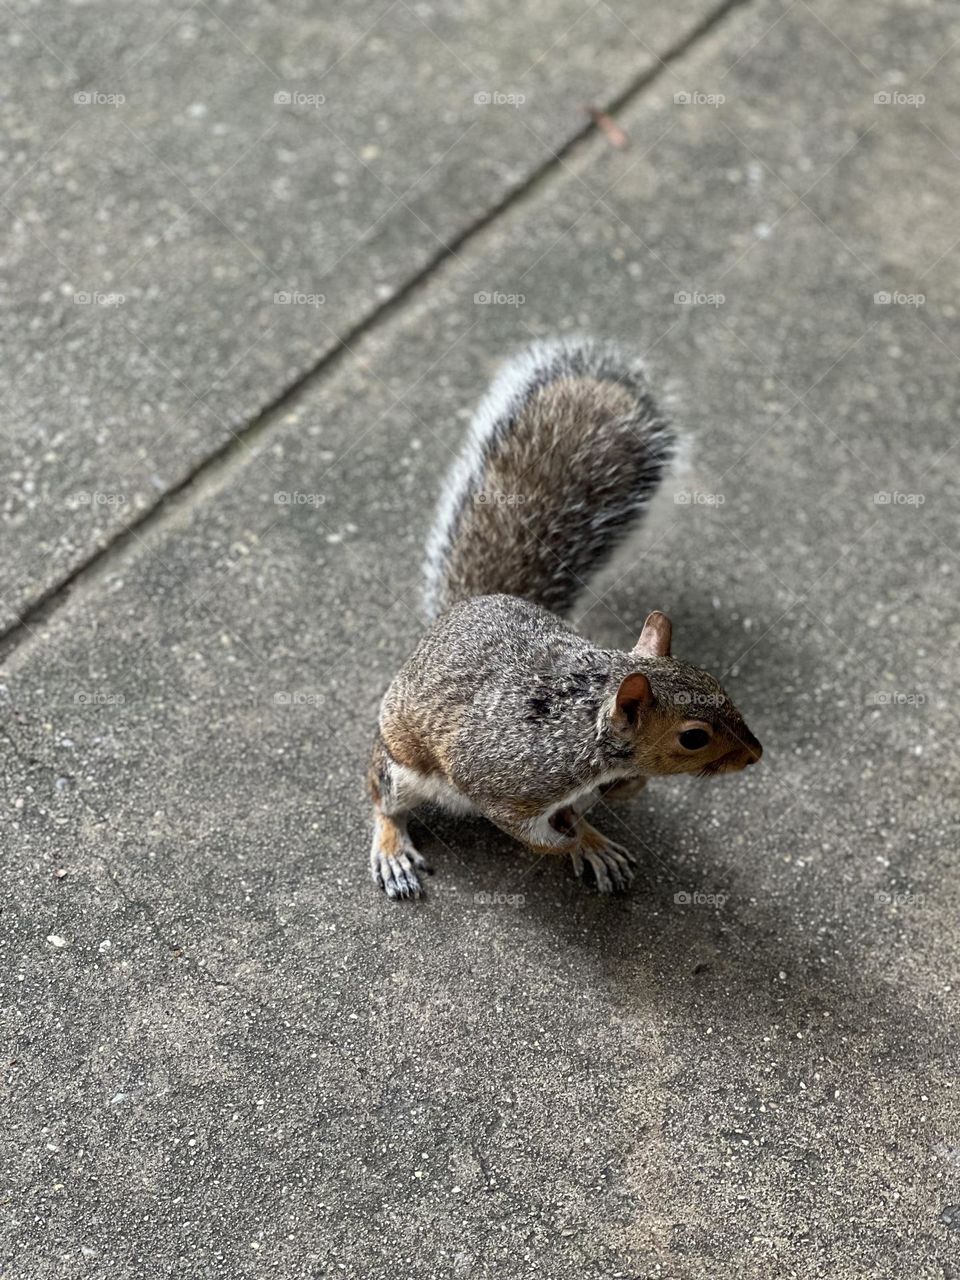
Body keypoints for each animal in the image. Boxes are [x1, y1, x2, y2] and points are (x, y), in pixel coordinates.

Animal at [369, 337, 762, 899]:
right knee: (382, 796)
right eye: (693, 737)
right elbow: (534, 835)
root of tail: (462, 608)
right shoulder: (506, 786)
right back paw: (391, 847)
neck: (585, 730)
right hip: (402, 762)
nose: (755, 754)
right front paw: (571, 842)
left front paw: (606, 819)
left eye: (720, 687)